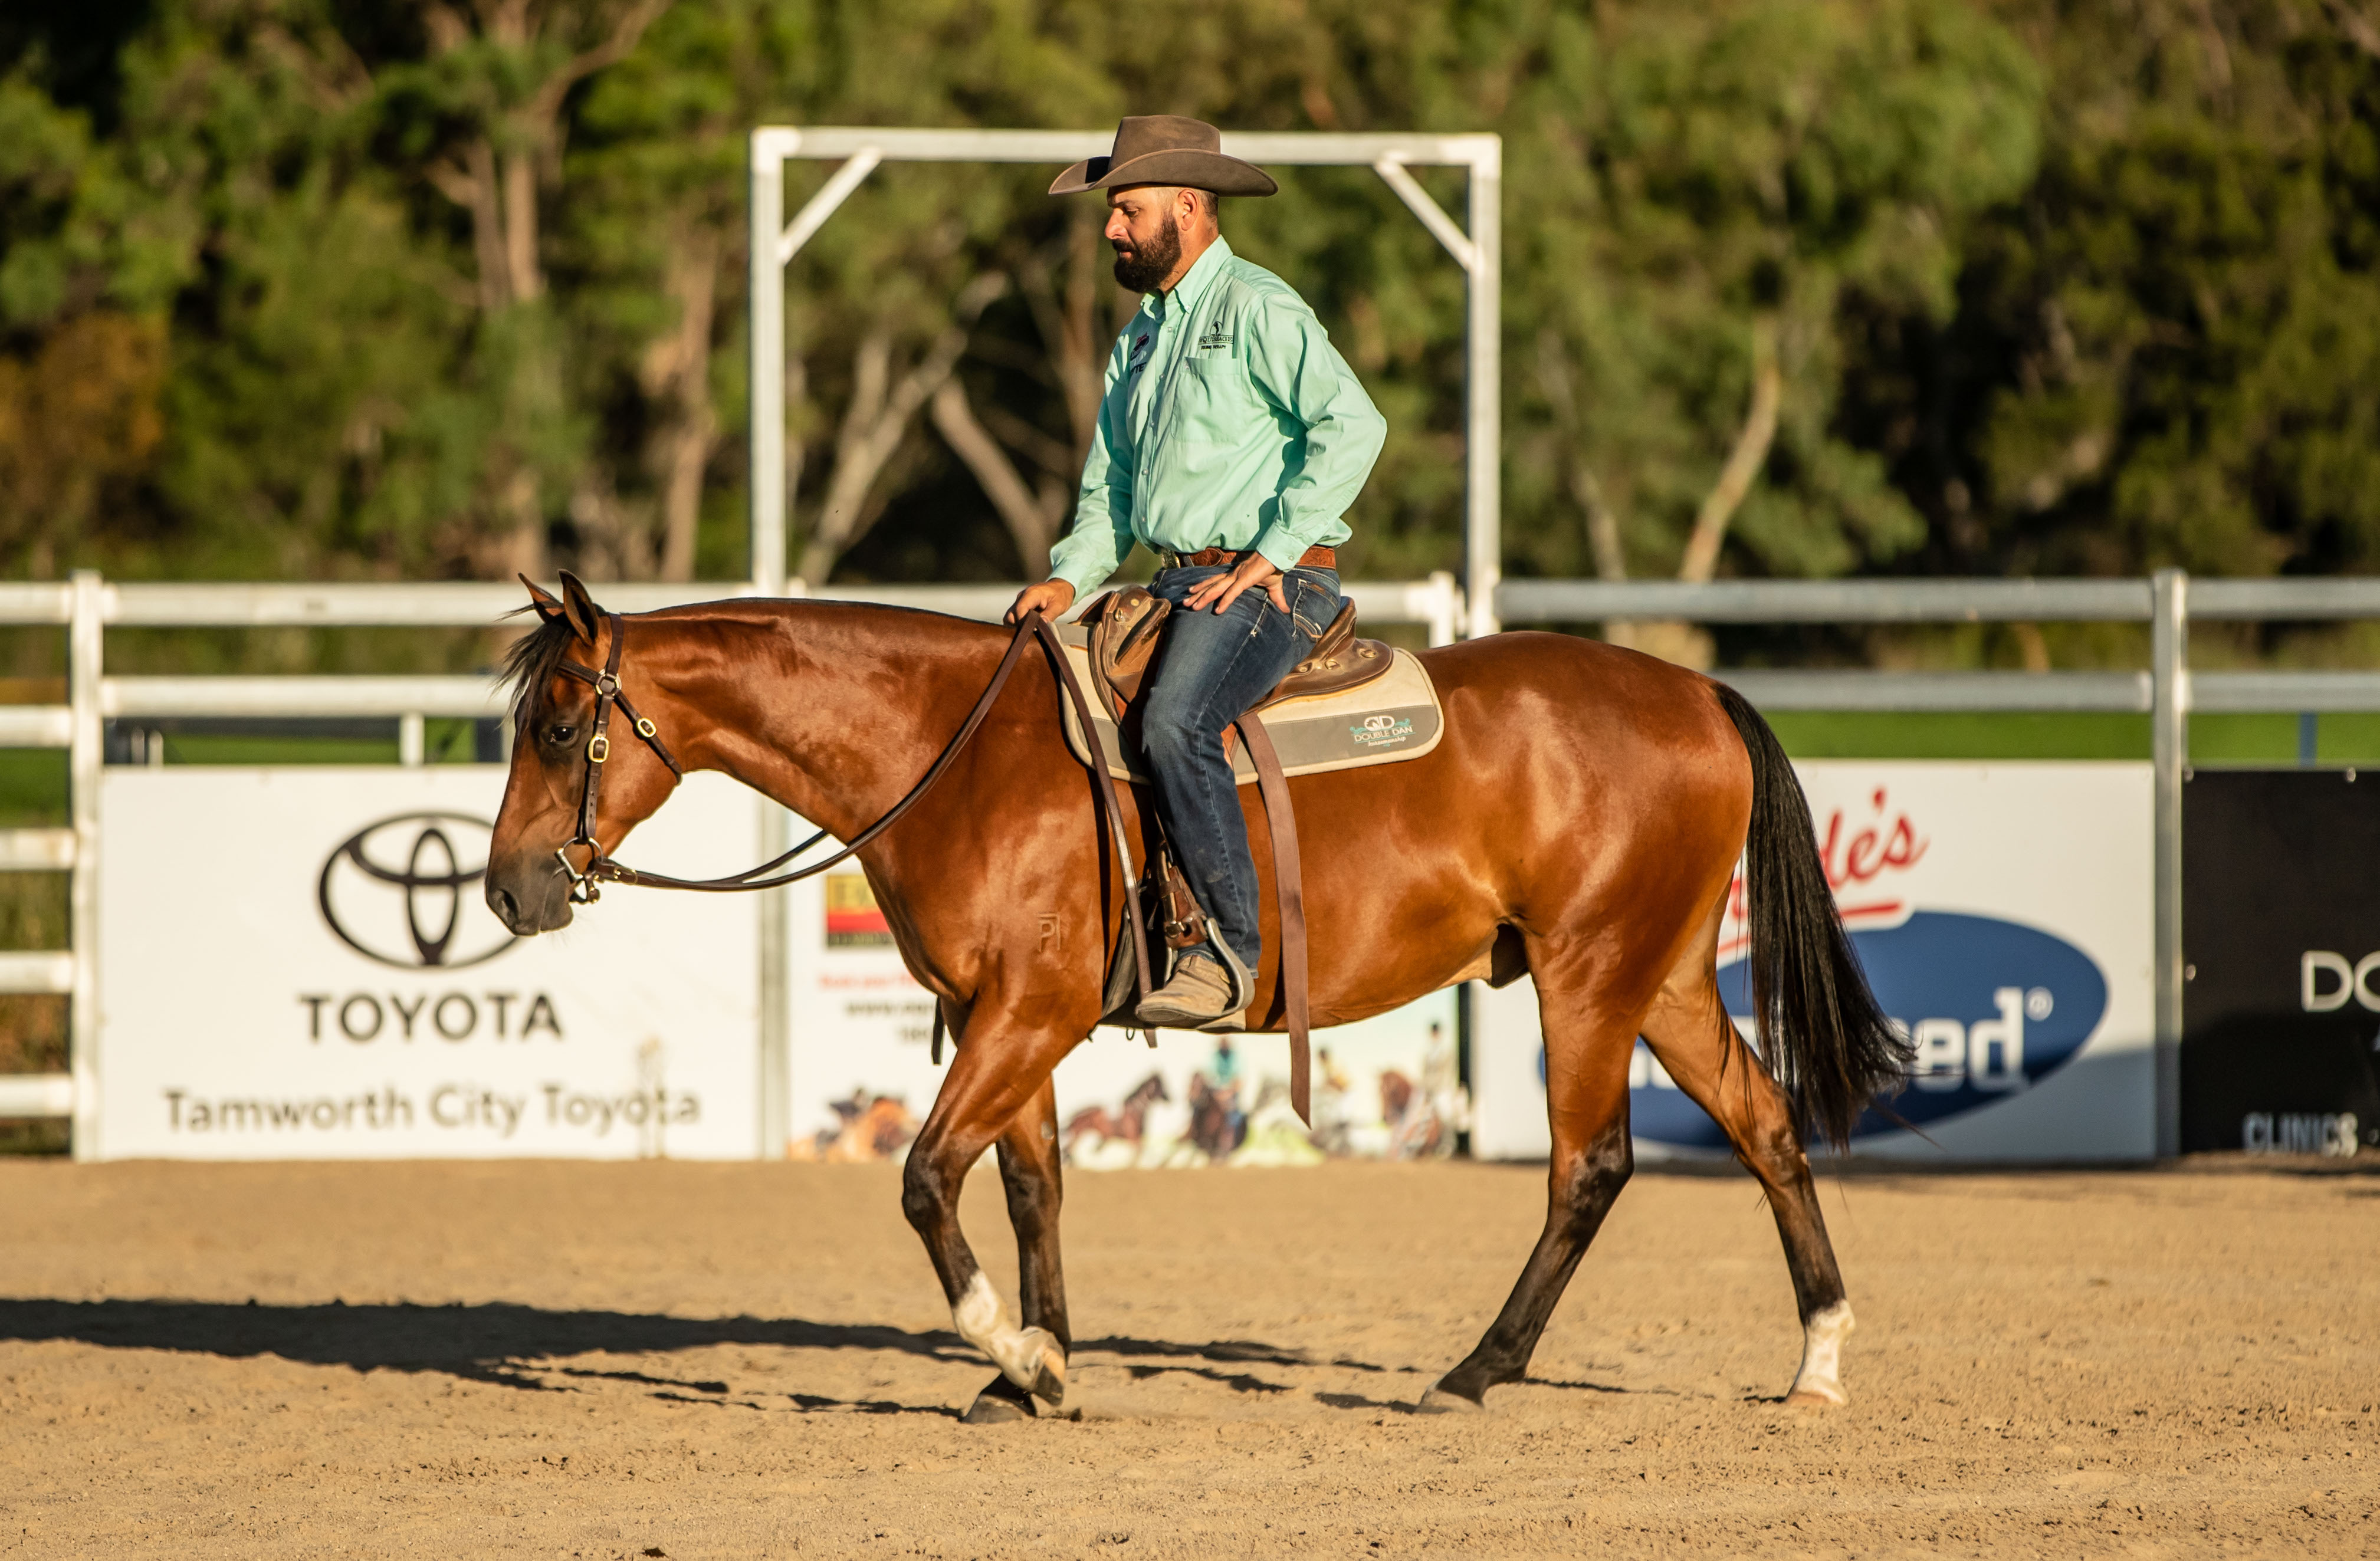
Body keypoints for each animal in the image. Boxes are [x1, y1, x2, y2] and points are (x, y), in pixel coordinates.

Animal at [485, 573, 1907, 1422]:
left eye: (557, 728)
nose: (505, 889)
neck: (954, 756)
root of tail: (1696, 692)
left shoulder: (1030, 1017)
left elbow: (928, 1181)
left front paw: (1015, 1354)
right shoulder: (1009, 1018)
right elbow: (1032, 1188)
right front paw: (1041, 1373)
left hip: (1590, 976)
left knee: (1588, 1166)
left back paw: (1474, 1370)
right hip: (1662, 979)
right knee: (1765, 1127)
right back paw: (1821, 1359)